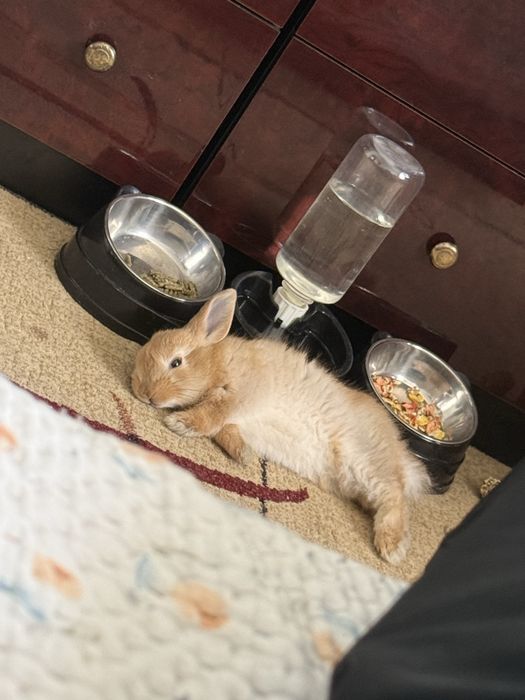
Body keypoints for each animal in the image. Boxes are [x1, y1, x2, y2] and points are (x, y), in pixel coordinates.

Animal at [131, 288, 430, 564]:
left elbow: (215, 412)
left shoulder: (244, 392)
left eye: (176, 362)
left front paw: (181, 423)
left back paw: (391, 548)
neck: (216, 364)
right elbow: (224, 429)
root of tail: (401, 458)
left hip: (365, 461)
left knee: (394, 495)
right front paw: (243, 454)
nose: (145, 395)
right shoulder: (237, 420)